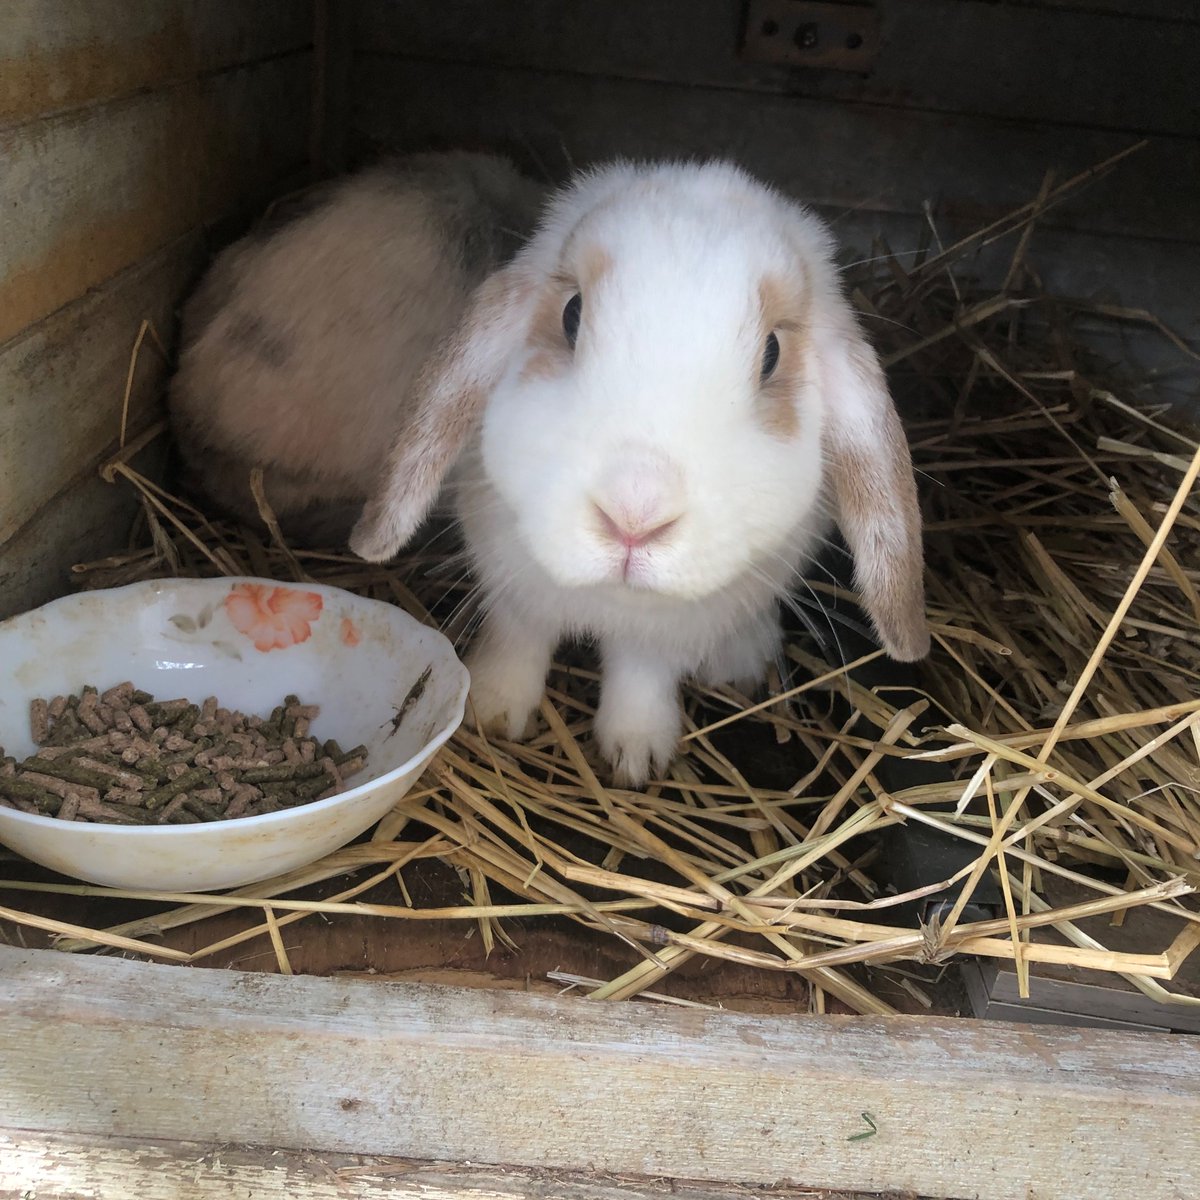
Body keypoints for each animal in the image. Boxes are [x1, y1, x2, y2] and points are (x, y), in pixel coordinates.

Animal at [350, 159, 930, 786]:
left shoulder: (667, 632)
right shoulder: (511, 585)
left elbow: (642, 675)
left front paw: (637, 757)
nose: (633, 516)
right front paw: (491, 710)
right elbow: (518, 639)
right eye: (571, 314)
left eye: (773, 353)